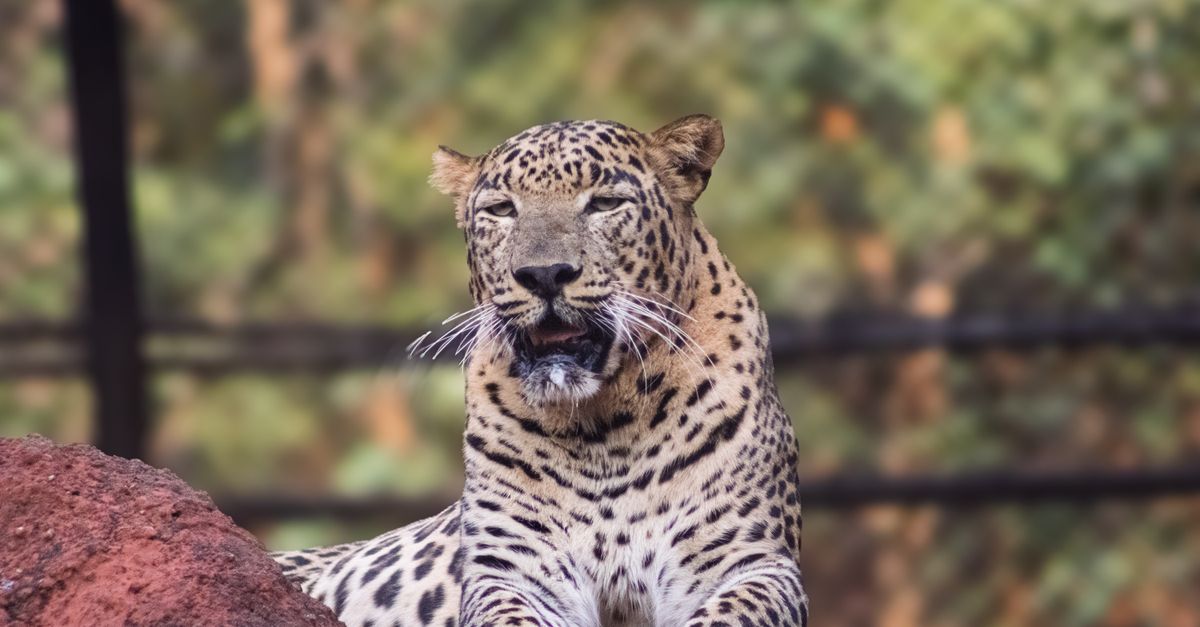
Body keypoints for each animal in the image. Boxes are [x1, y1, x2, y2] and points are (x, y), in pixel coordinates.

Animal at [273, 115, 809, 626]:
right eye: (501, 210)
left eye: (604, 203)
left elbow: (729, 613)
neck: (605, 426)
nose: (544, 274)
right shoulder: (513, 572)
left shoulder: (754, 563)